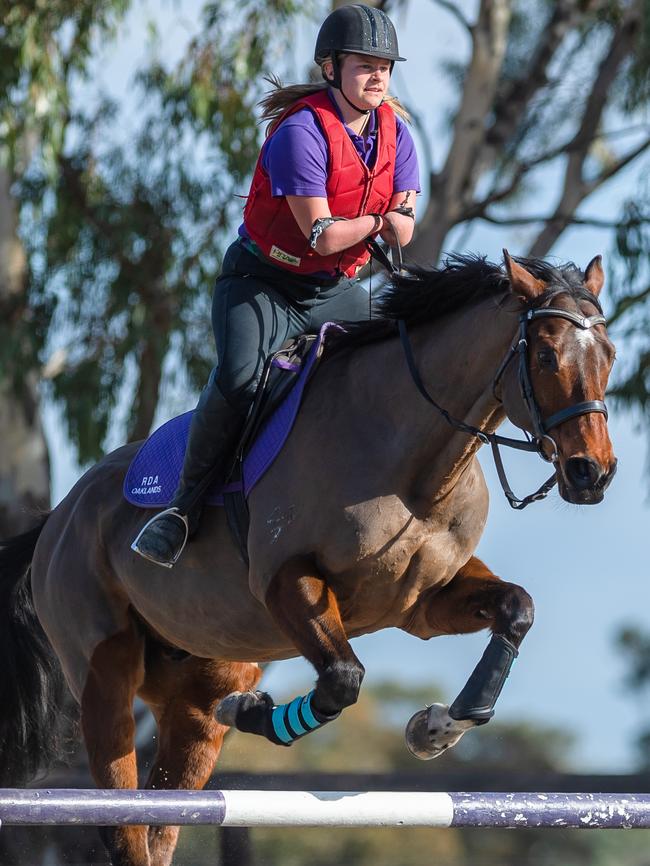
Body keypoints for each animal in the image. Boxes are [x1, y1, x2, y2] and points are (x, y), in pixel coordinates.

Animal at [0, 248, 612, 856]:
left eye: (608, 356)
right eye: (546, 355)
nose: (592, 472)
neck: (416, 468)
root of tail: (59, 516)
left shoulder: (424, 604)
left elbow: (517, 608)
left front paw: (436, 727)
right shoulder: (285, 581)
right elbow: (342, 677)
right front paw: (258, 713)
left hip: (192, 691)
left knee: (165, 817)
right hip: (106, 674)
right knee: (123, 822)